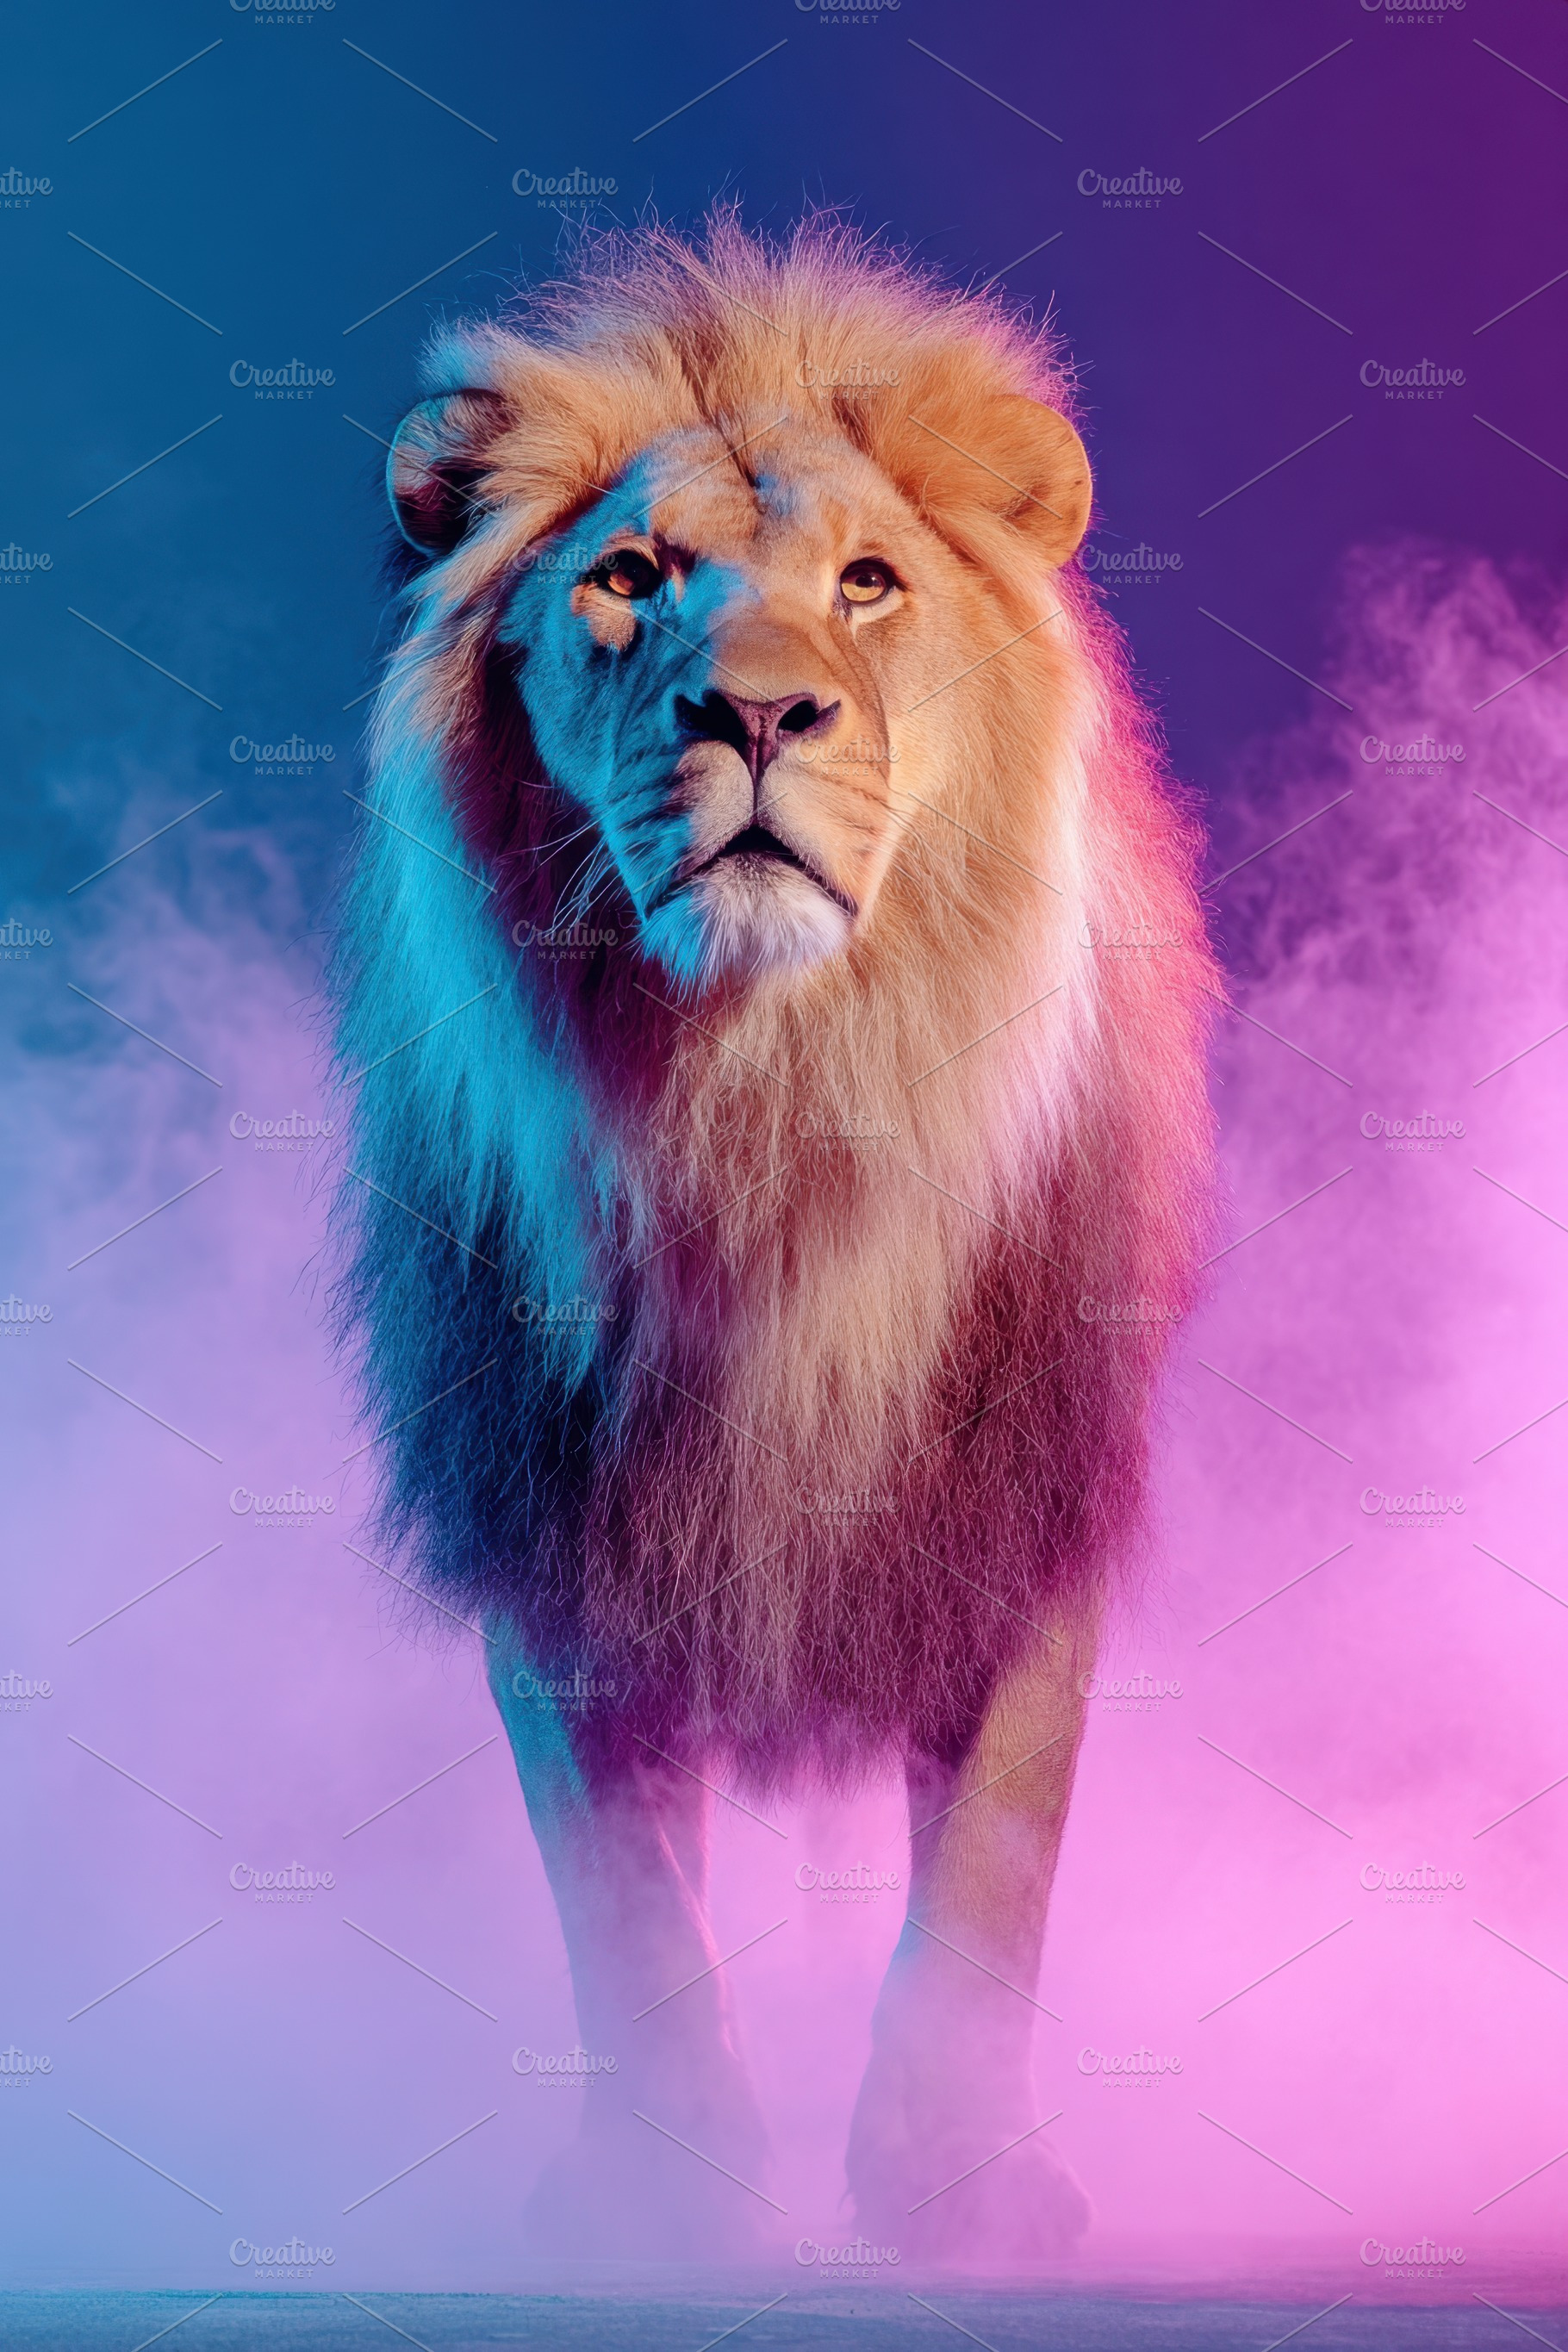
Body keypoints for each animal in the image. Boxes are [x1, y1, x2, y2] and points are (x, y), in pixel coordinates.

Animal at [333, 213, 1216, 2265]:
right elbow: (626, 1909)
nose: (751, 712)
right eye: (629, 581)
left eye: (869, 585)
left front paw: (957, 2185)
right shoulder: (559, 1527)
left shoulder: (1014, 1490)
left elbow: (988, 1874)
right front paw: (665, 2198)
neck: (773, 1093)